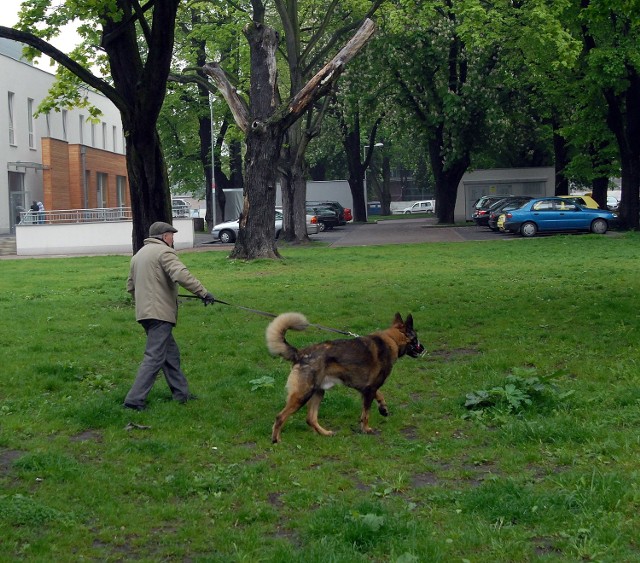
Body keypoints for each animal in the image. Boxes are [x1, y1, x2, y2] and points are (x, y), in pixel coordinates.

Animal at [266, 310, 424, 442]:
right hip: (303, 395)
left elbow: (380, 395)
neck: (393, 339)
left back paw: (324, 433)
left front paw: (383, 408)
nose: (423, 348)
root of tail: (300, 353)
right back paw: (276, 439)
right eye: (416, 338)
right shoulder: (369, 390)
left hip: (318, 392)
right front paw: (366, 429)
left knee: (310, 419)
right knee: (280, 417)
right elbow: (366, 414)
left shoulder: (367, 389)